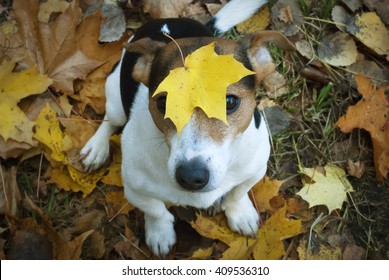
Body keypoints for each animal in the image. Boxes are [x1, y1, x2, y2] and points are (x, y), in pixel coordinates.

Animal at [79, 0, 294, 258]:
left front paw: (239, 212)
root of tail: (166, 20)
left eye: (229, 102)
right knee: (110, 119)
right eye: (163, 102)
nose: (192, 177)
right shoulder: (134, 188)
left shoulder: (256, 168)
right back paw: (96, 148)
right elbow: (155, 209)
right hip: (114, 95)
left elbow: (238, 192)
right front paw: (160, 231)